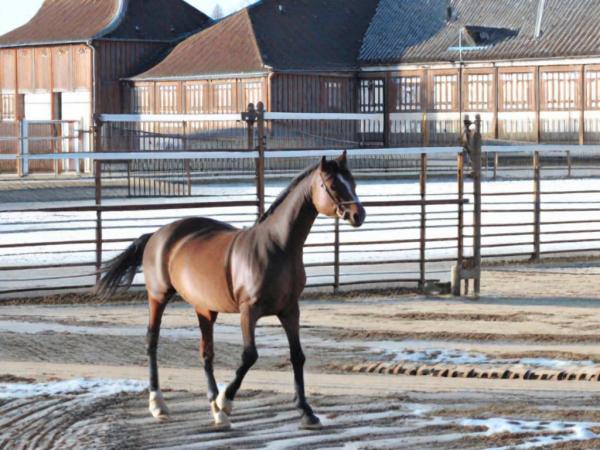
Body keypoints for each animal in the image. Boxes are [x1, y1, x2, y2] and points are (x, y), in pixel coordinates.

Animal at [95, 153, 366, 430]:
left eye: (353, 182)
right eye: (332, 185)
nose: (359, 215)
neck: (276, 247)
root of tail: (157, 235)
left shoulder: (290, 310)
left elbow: (297, 356)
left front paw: (306, 411)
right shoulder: (249, 311)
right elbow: (249, 356)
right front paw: (226, 400)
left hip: (205, 309)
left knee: (206, 353)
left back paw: (215, 409)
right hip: (158, 297)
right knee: (152, 342)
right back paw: (160, 405)